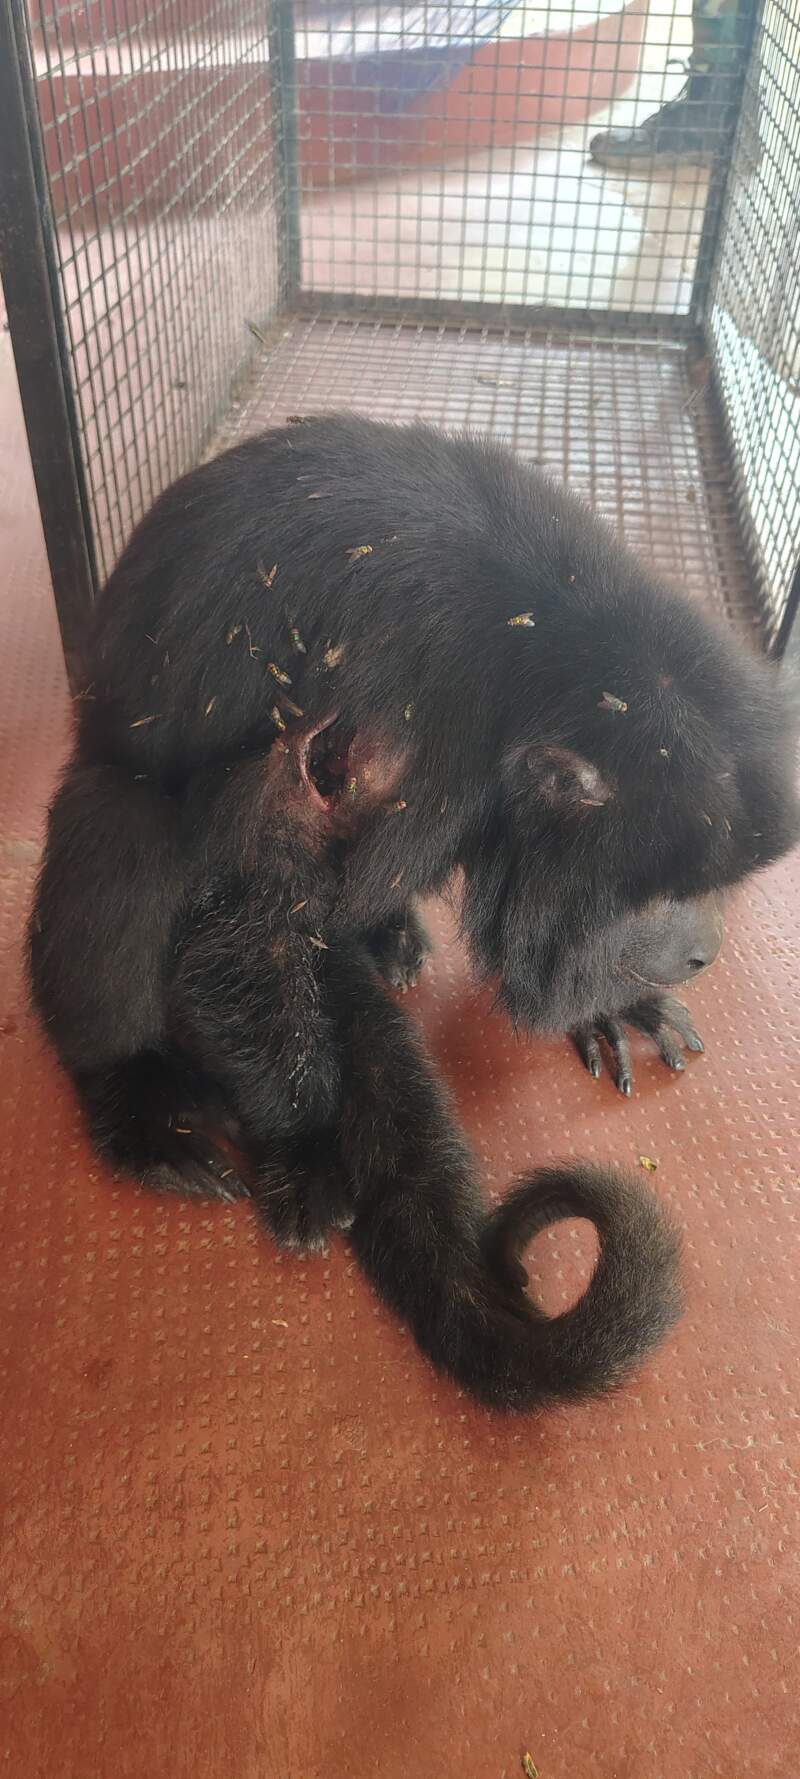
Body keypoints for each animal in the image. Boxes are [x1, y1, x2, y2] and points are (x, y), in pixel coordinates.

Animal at [28, 415, 800, 1412]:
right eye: (660, 896)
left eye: (712, 885)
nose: (706, 947)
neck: (542, 656)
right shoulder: (406, 711)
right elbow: (242, 914)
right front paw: (305, 1143)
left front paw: (609, 1001)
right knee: (124, 827)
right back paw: (129, 1096)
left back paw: (385, 931)